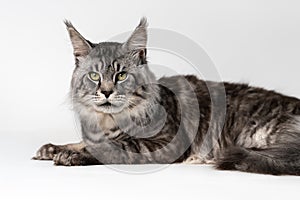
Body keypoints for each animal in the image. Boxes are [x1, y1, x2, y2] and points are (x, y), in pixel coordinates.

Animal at [33, 18, 300, 176]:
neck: (108, 123)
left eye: (121, 75)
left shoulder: (164, 141)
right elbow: (83, 141)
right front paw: (53, 148)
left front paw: (72, 154)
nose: (106, 92)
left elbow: (114, 146)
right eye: (94, 76)